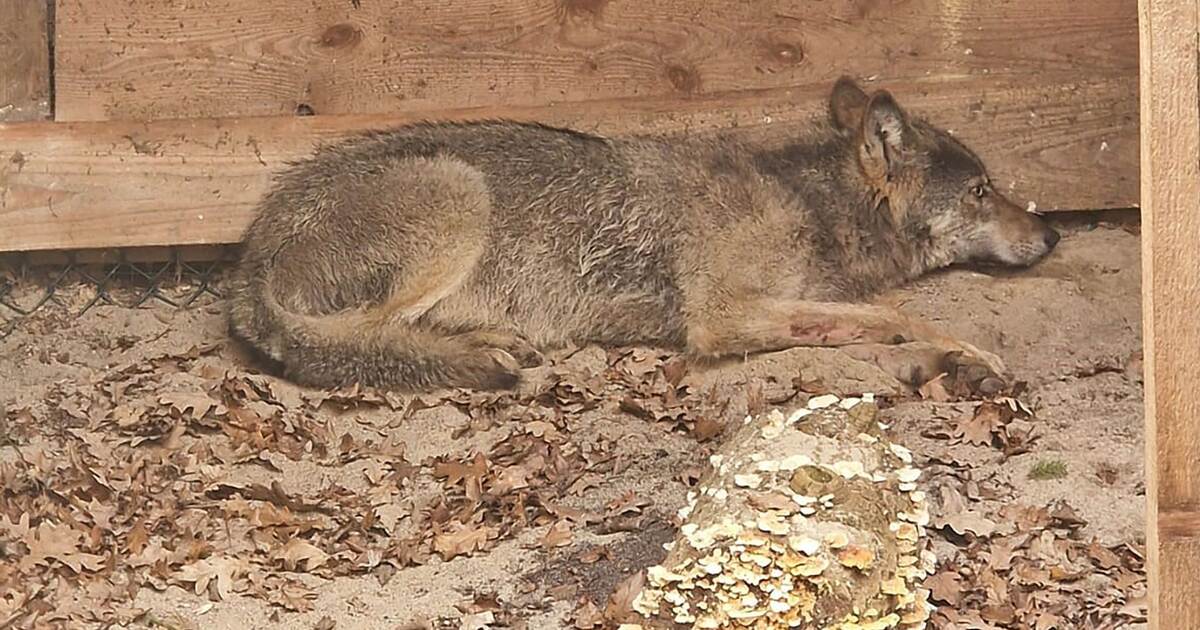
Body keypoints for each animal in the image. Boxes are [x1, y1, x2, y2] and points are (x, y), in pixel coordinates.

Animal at [226, 76, 1060, 392]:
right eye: (983, 191)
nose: (1052, 235)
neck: (806, 202)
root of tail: (248, 257)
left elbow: (870, 317)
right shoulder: (720, 317)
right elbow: (896, 314)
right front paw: (967, 354)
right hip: (459, 194)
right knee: (355, 340)